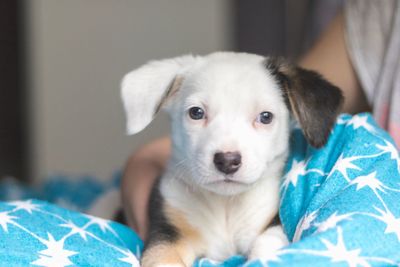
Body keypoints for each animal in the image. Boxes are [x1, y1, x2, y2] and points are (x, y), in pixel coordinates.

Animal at [120, 51, 342, 266]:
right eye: (196, 113)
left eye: (266, 117)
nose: (227, 161)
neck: (226, 206)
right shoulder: (168, 229)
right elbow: (163, 257)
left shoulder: (271, 222)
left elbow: (268, 243)